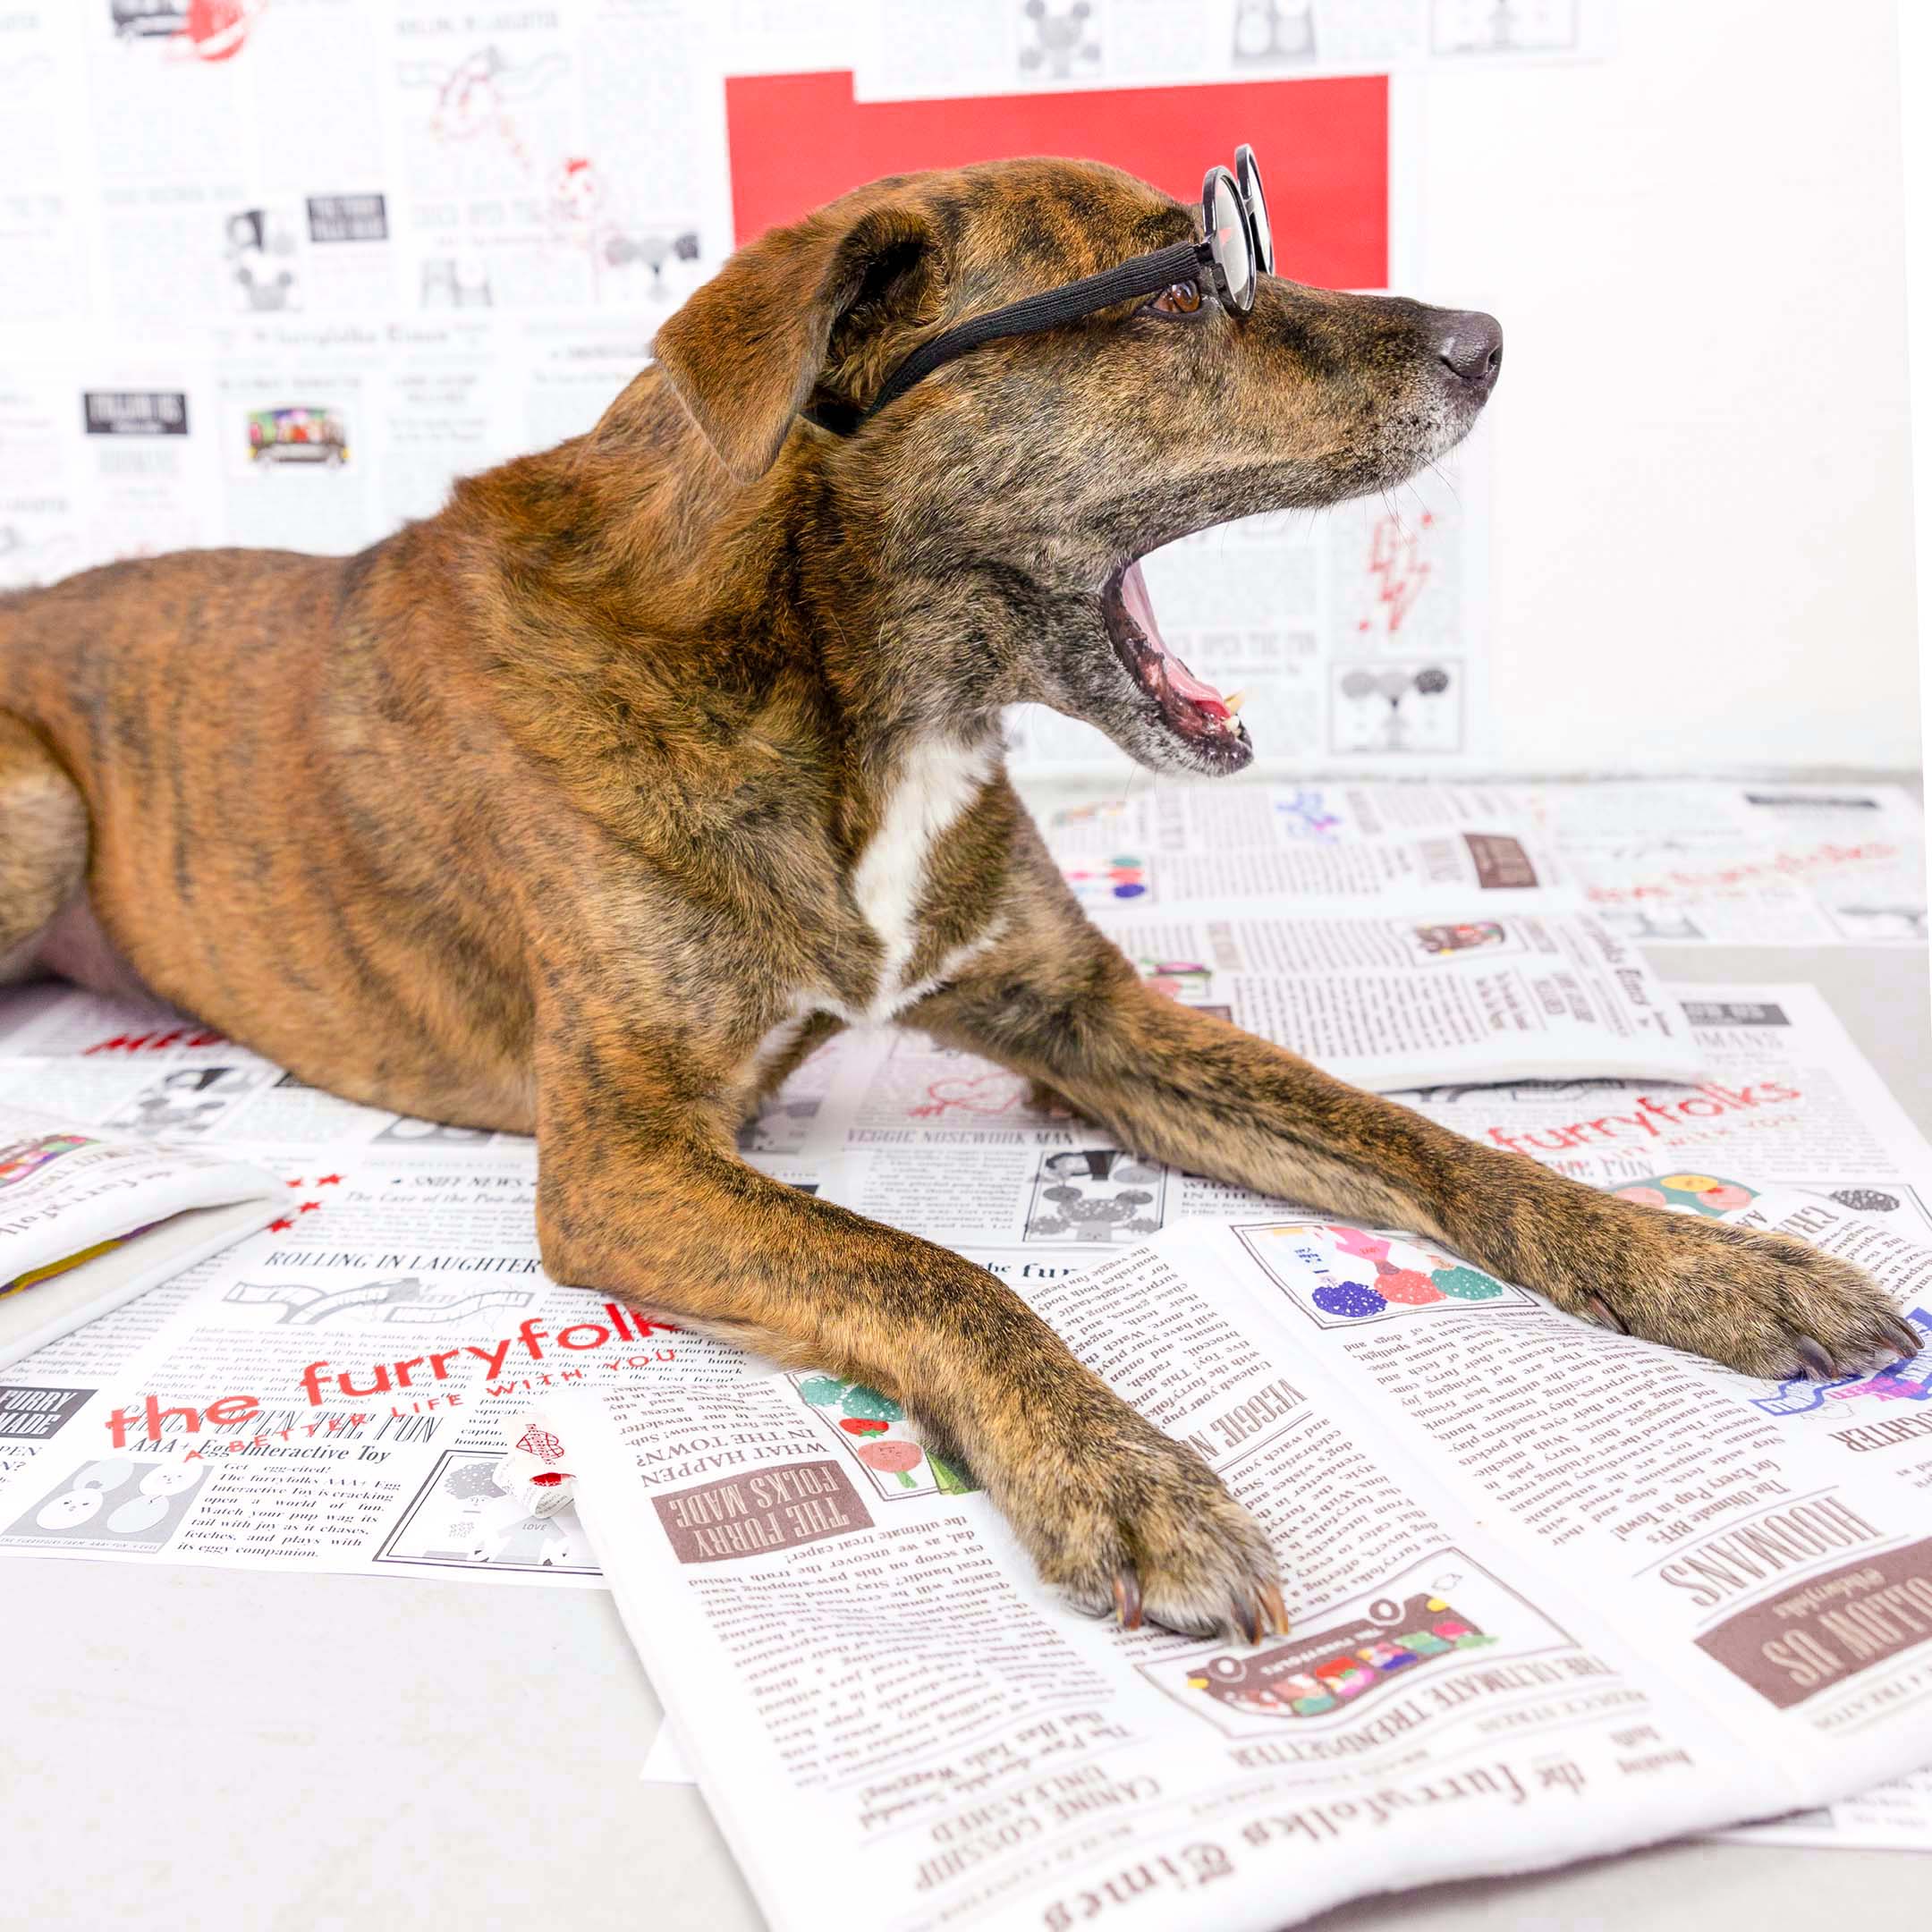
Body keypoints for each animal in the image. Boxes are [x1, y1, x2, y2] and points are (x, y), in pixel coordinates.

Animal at [0, 162, 1916, 1631]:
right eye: (1175, 289)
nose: (1488, 340)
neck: (843, 685)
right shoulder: (622, 1158)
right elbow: (929, 1267)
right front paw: (1121, 1471)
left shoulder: (1089, 1018)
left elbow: (1416, 1136)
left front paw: (1700, 1261)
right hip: (39, 805)